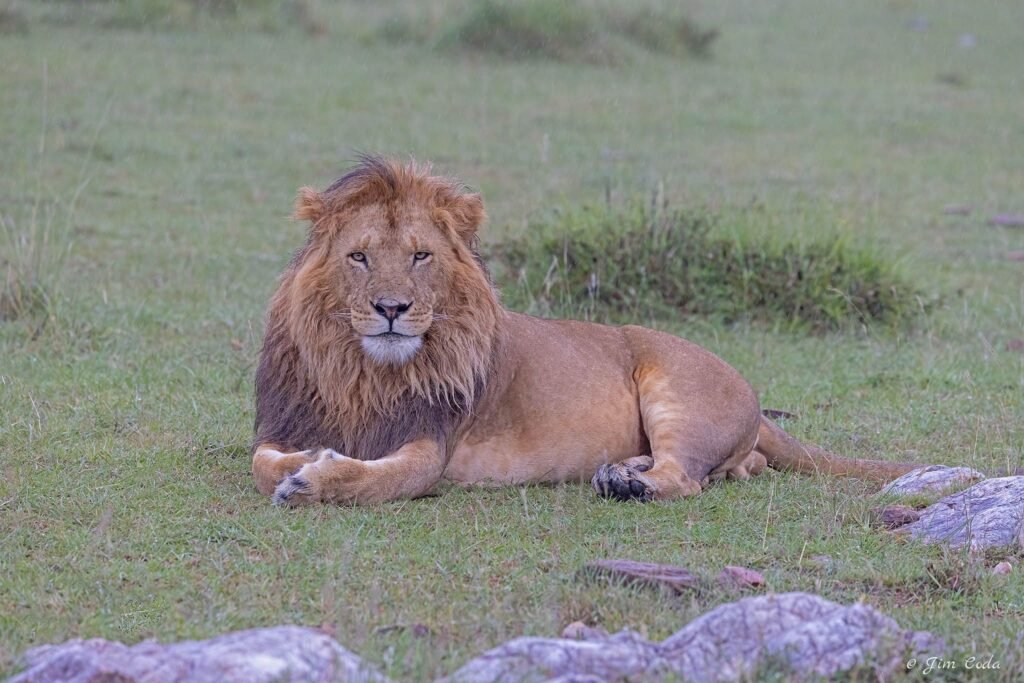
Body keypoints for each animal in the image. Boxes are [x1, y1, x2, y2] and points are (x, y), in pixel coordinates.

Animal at [253, 155, 920, 506]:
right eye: (359, 257)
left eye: (420, 256)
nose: (392, 308)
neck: (362, 371)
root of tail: (753, 395)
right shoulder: (279, 422)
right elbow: (263, 461)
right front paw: (304, 458)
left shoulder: (430, 446)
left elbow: (382, 479)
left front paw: (312, 479)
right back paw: (624, 470)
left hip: (677, 388)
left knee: (686, 477)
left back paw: (626, 485)